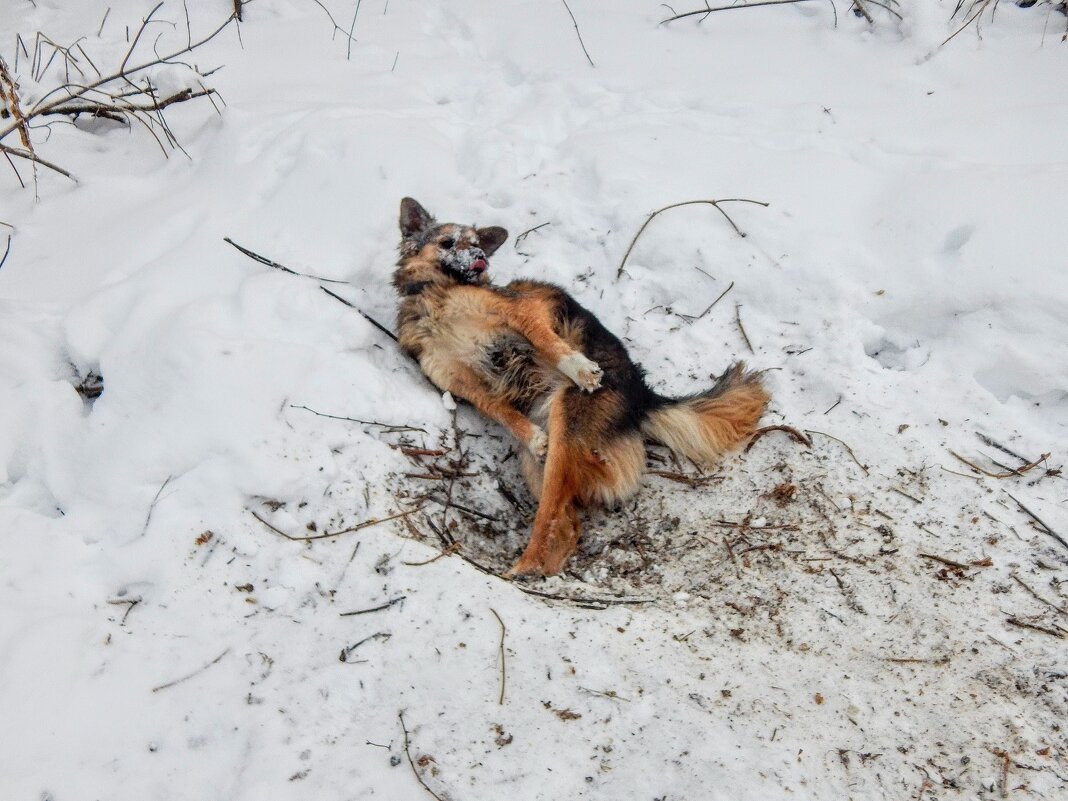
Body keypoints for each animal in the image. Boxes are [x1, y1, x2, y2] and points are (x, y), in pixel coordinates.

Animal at [393, 198, 768, 580]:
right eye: (448, 243)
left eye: (476, 242)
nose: (481, 256)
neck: (436, 295)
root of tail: (642, 396)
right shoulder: (458, 380)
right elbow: (499, 409)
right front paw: (531, 435)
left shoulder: (520, 307)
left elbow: (546, 340)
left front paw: (580, 368)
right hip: (541, 461)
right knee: (566, 523)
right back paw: (538, 568)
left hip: (567, 424)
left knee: (553, 515)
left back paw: (525, 566)